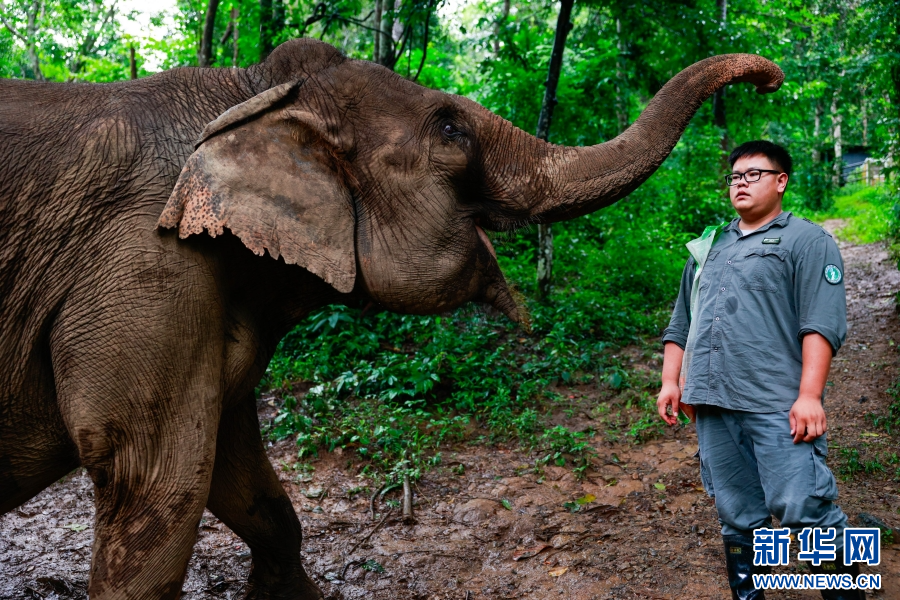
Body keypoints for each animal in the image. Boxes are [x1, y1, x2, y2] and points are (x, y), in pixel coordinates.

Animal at [0, 38, 782, 598]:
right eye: (451, 128)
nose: (770, 79)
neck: (246, 90)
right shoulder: (146, 263)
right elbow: (157, 480)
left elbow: (237, 468)